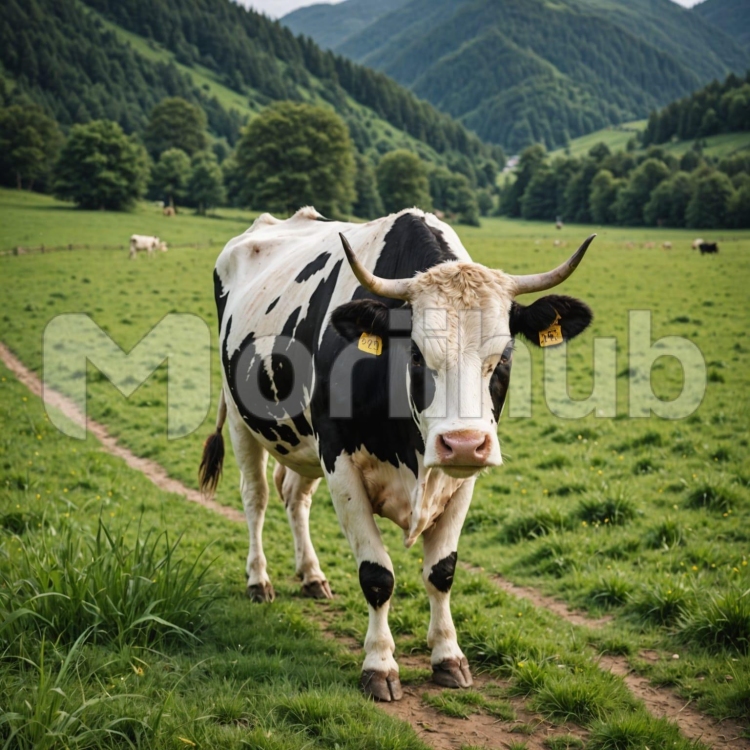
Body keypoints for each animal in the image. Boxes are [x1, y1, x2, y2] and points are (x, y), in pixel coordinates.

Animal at [200, 207, 594, 702]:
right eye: (417, 356)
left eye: (503, 356)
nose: (463, 442)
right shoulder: (340, 464)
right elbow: (377, 575)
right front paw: (379, 665)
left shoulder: (460, 478)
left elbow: (442, 572)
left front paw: (448, 656)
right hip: (242, 421)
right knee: (256, 498)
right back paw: (259, 580)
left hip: (305, 444)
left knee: (295, 497)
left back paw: (311, 575)